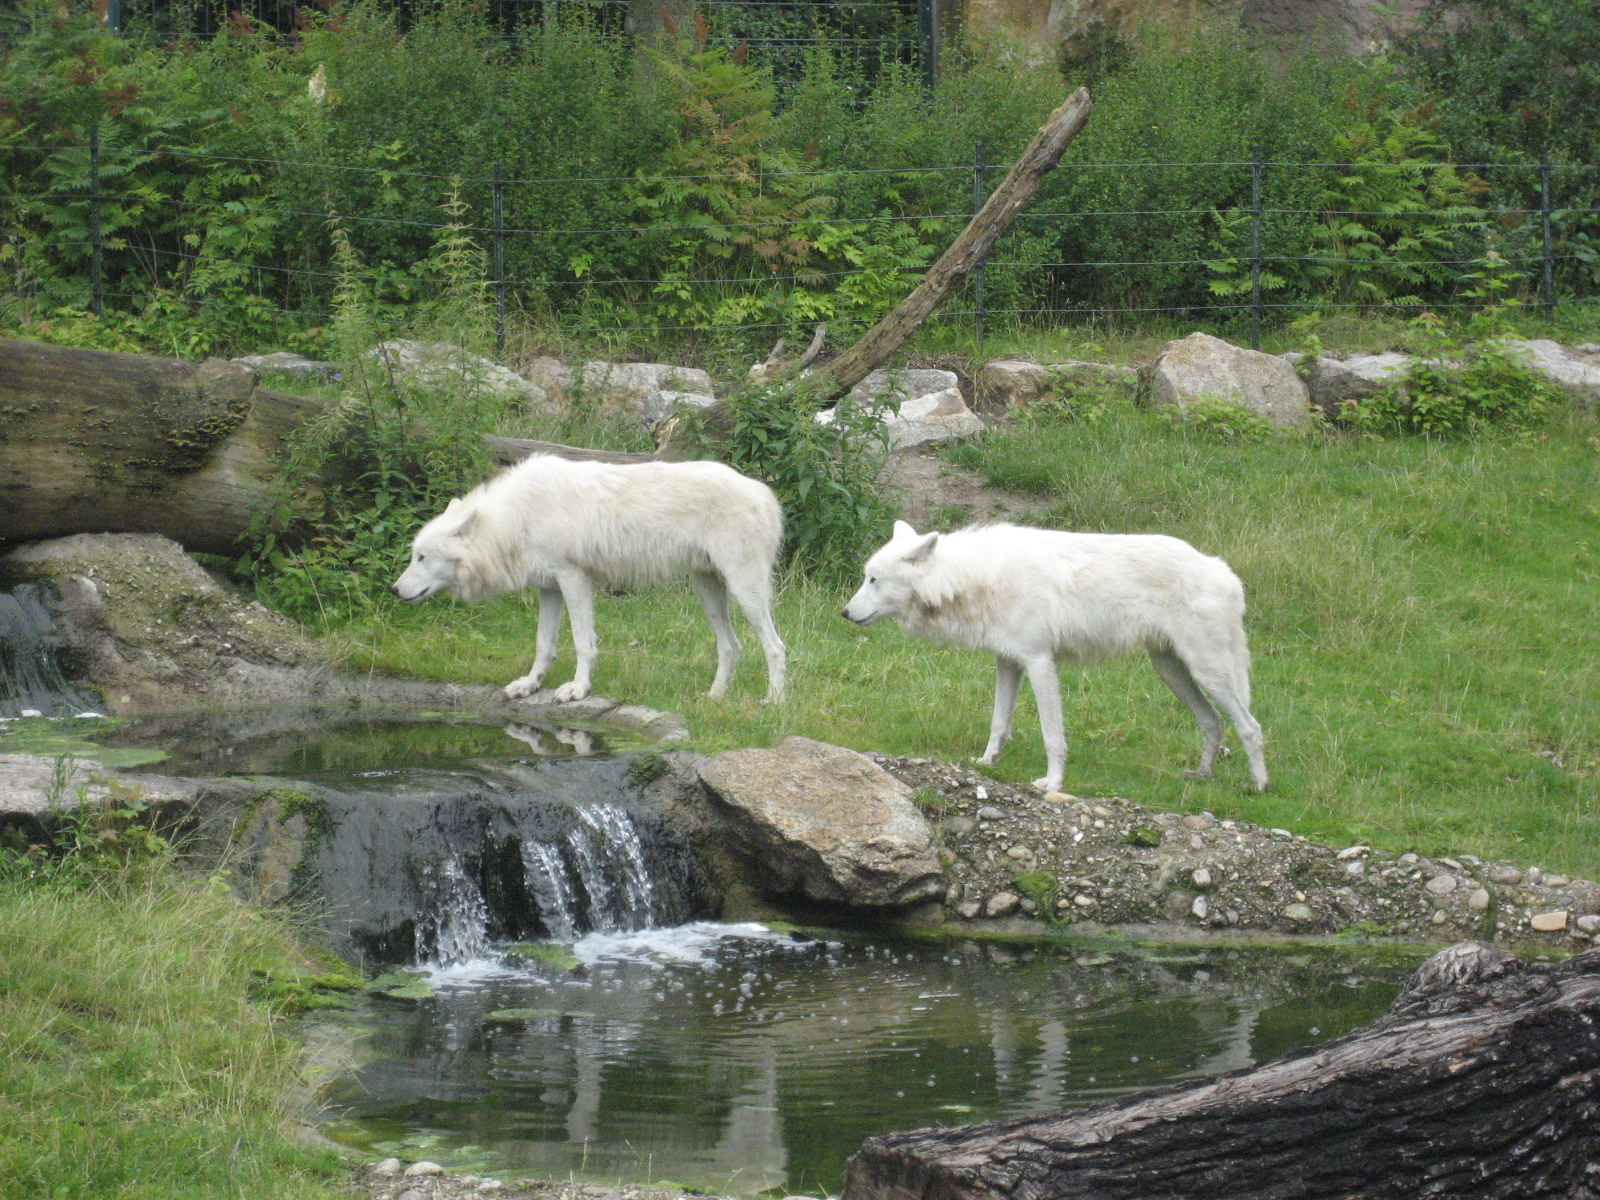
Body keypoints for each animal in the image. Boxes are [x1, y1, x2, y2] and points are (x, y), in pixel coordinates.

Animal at [392, 454, 787, 703]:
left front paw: (577, 690)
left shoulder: (574, 580)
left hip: (745, 592)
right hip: (708, 591)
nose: (394, 589)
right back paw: (714, 698)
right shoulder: (548, 588)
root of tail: (764, 492)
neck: (517, 520)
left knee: (775, 646)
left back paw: (773, 701)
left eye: (422, 557)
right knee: (731, 646)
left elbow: (583, 643)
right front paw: (529, 685)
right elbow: (543, 644)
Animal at [843, 521, 1267, 794]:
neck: (977, 578)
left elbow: (1052, 737)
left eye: (873, 581)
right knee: (1213, 722)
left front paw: (1053, 782)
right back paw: (1202, 775)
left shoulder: (1039, 663)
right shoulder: (1008, 662)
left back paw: (1259, 784)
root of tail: (1223, 570)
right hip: (1170, 670)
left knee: (1249, 725)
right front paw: (985, 763)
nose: (845, 614)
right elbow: (998, 723)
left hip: (1207, 671)